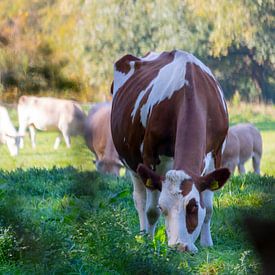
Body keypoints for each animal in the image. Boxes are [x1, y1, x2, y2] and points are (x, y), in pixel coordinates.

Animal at [111, 50, 231, 254]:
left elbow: (208, 208)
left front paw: (207, 243)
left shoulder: (217, 153)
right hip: (131, 163)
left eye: (193, 206)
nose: (179, 246)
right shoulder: (150, 156)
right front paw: (150, 243)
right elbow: (151, 210)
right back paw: (143, 234)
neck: (190, 90)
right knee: (140, 200)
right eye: (163, 207)